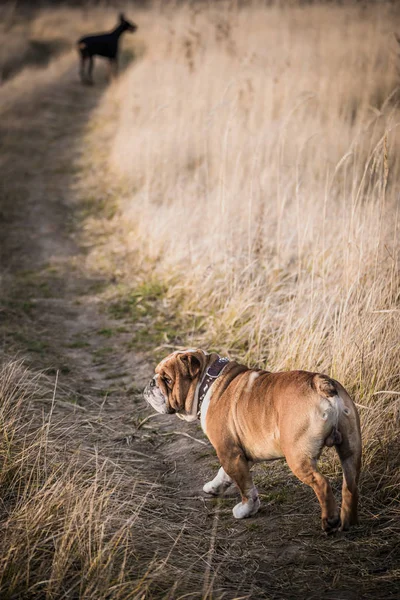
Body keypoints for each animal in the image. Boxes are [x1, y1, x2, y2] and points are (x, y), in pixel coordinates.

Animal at [145, 350, 362, 532]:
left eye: (167, 379)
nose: (151, 383)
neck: (207, 382)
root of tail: (320, 382)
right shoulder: (237, 453)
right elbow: (224, 473)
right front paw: (214, 487)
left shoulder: (228, 452)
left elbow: (245, 486)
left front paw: (246, 509)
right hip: (351, 448)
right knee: (350, 485)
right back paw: (348, 522)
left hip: (297, 456)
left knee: (321, 483)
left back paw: (329, 521)